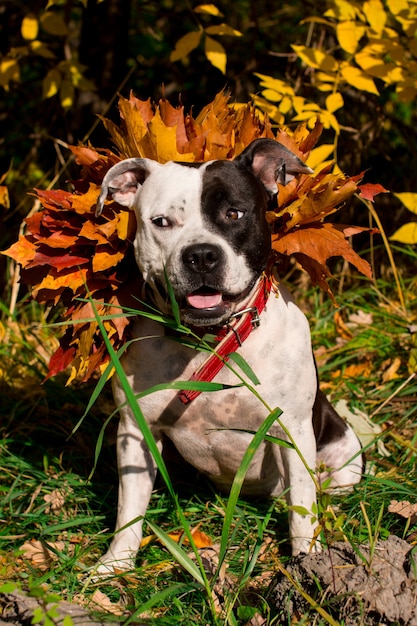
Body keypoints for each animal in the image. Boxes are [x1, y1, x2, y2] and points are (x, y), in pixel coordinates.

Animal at [93, 139, 360, 572]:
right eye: (161, 221)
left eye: (234, 213)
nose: (202, 255)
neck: (209, 341)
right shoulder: (135, 430)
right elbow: (129, 507)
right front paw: (115, 564)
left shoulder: (293, 429)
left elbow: (303, 509)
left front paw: (308, 564)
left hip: (345, 453)